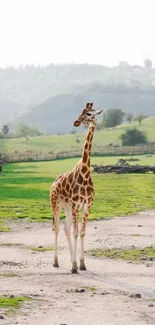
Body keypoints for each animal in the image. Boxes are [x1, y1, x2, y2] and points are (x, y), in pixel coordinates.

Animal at [50, 102, 103, 272]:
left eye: (90, 114)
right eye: (82, 112)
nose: (76, 122)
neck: (85, 173)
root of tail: (53, 184)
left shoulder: (87, 206)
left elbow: (82, 232)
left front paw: (81, 264)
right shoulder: (75, 205)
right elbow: (75, 232)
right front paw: (74, 266)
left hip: (66, 207)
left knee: (66, 229)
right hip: (56, 204)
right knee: (57, 228)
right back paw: (56, 262)